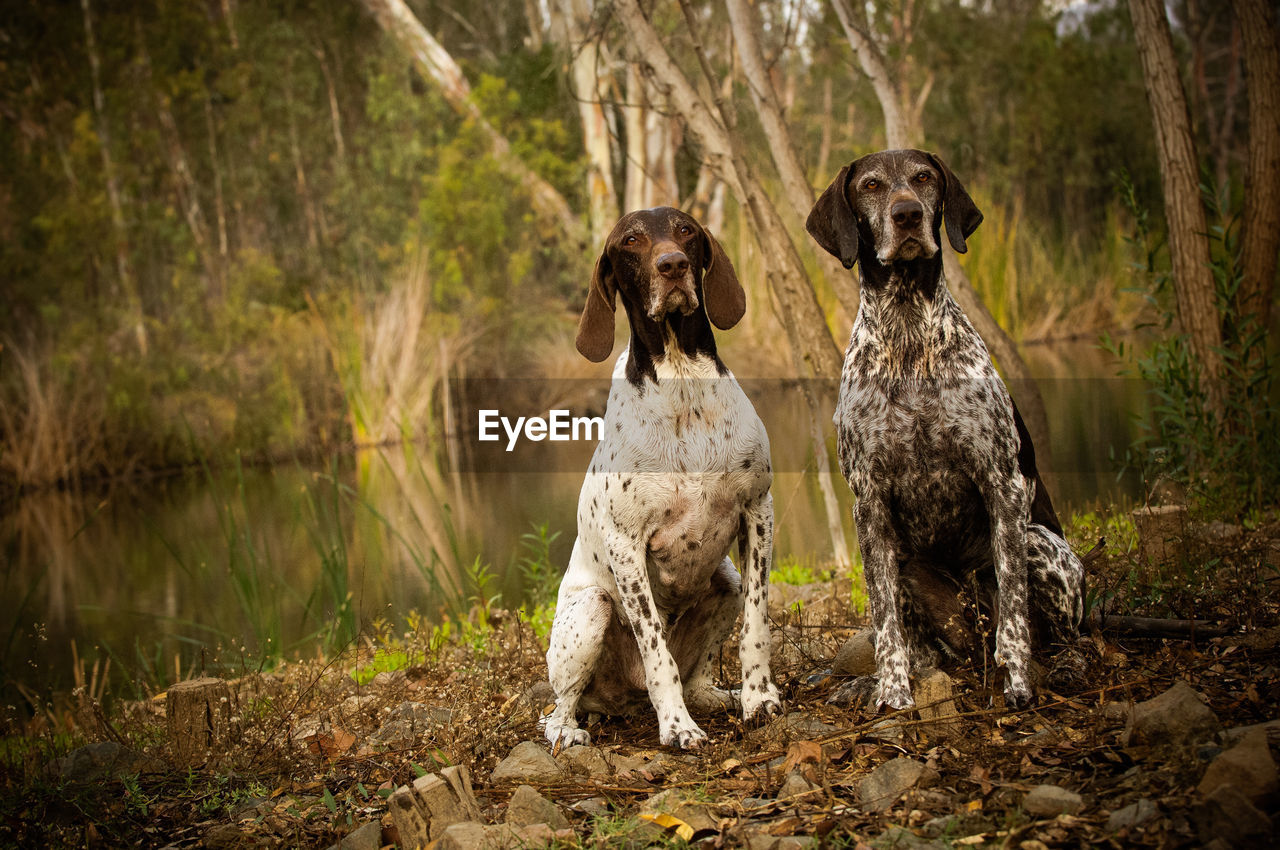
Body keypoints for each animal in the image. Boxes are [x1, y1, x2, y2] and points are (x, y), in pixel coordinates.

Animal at [540, 207, 778, 752]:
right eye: (631, 241)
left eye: (685, 229)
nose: (672, 266)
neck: (682, 380)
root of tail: (619, 703)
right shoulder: (627, 545)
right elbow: (656, 652)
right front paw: (677, 726)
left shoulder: (758, 510)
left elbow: (757, 626)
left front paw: (759, 698)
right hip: (590, 612)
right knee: (559, 707)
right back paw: (570, 731)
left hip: (726, 582)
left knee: (698, 678)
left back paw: (720, 697)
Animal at [808, 151, 1080, 711]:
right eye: (871, 186)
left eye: (924, 178)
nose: (908, 215)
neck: (909, 333)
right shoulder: (869, 504)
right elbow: (885, 623)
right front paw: (892, 692)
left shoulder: (1002, 485)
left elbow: (1015, 610)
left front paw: (1018, 684)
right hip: (908, 564)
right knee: (928, 650)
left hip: (1042, 546)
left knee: (1067, 634)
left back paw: (1061, 664)